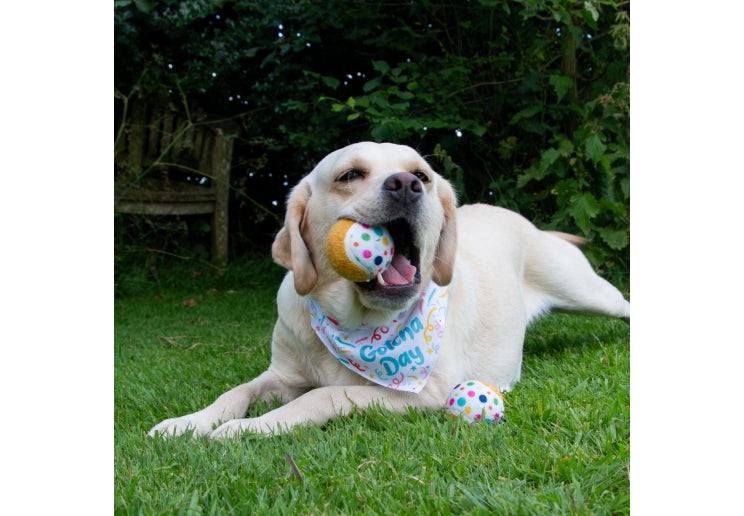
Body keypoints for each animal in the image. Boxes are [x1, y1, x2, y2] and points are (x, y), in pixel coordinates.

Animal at [148, 142, 632, 440]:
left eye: (423, 175)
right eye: (350, 175)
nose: (406, 183)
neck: (355, 324)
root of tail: (524, 220)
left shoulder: (424, 392)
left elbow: (323, 395)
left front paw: (248, 428)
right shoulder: (280, 376)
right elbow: (235, 392)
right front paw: (188, 423)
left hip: (587, 290)